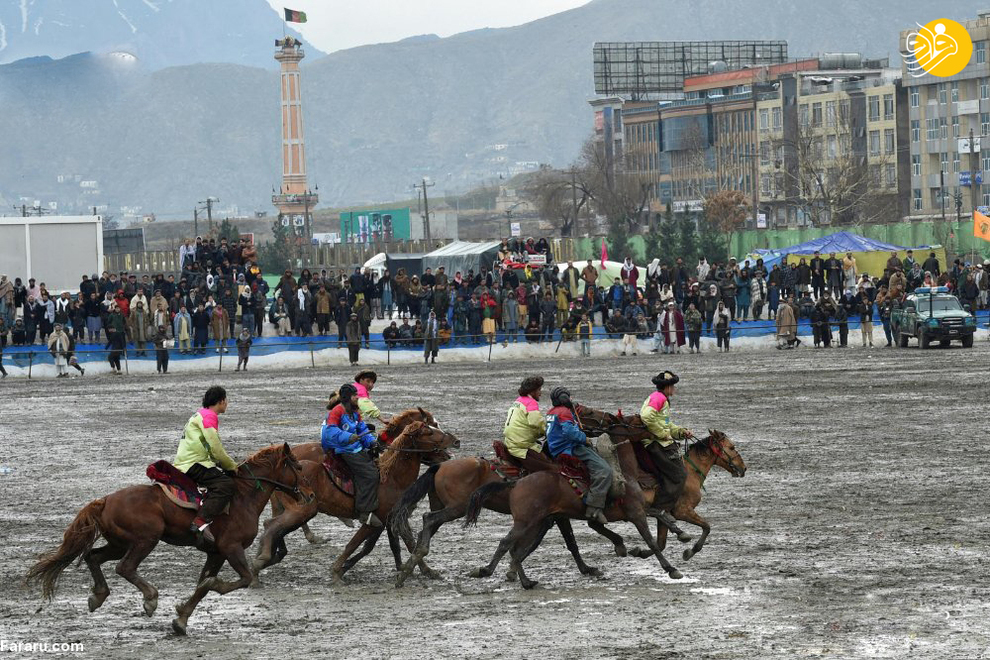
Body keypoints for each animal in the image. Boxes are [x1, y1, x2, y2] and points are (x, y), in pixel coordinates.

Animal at [24, 444, 310, 636]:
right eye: (296, 466)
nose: (309, 494)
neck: (242, 497)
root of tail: (105, 500)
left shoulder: (216, 553)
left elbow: (202, 586)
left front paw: (181, 619)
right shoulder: (230, 548)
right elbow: (243, 578)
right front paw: (212, 587)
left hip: (119, 543)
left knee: (93, 556)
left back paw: (99, 595)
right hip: (145, 540)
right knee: (124, 567)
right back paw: (150, 598)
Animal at [254, 422, 460, 584]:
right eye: (428, 431)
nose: (455, 440)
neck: (391, 477)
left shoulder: (392, 517)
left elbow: (407, 542)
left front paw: (426, 571)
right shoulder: (375, 520)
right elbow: (355, 544)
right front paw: (337, 571)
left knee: (272, 525)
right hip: (301, 511)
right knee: (272, 525)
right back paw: (260, 562)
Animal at [392, 402, 656, 588]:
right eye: (588, 412)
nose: (647, 429)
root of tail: (441, 466)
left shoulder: (550, 516)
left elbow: (551, 542)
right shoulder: (556, 515)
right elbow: (567, 542)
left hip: (444, 506)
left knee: (425, 527)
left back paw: (414, 566)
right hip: (456, 508)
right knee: (428, 520)